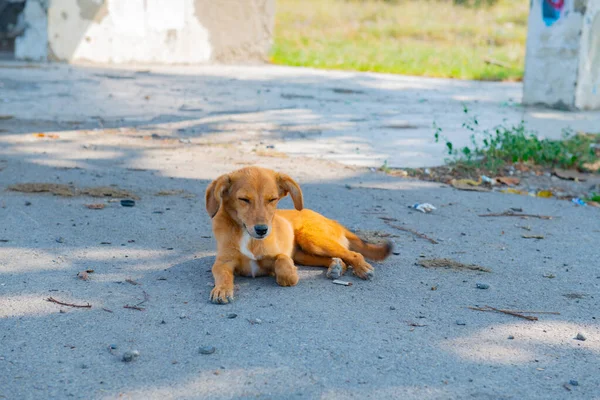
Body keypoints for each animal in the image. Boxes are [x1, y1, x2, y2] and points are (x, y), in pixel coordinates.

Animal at [206, 166, 394, 304]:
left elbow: (283, 265)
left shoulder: (280, 254)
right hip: (303, 254)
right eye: (244, 199)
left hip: (313, 240)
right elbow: (223, 275)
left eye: (272, 199)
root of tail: (331, 220)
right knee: (340, 260)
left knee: (353, 254)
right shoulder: (222, 262)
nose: (262, 230)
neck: (248, 237)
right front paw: (222, 289)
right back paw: (336, 267)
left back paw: (362, 268)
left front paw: (290, 274)